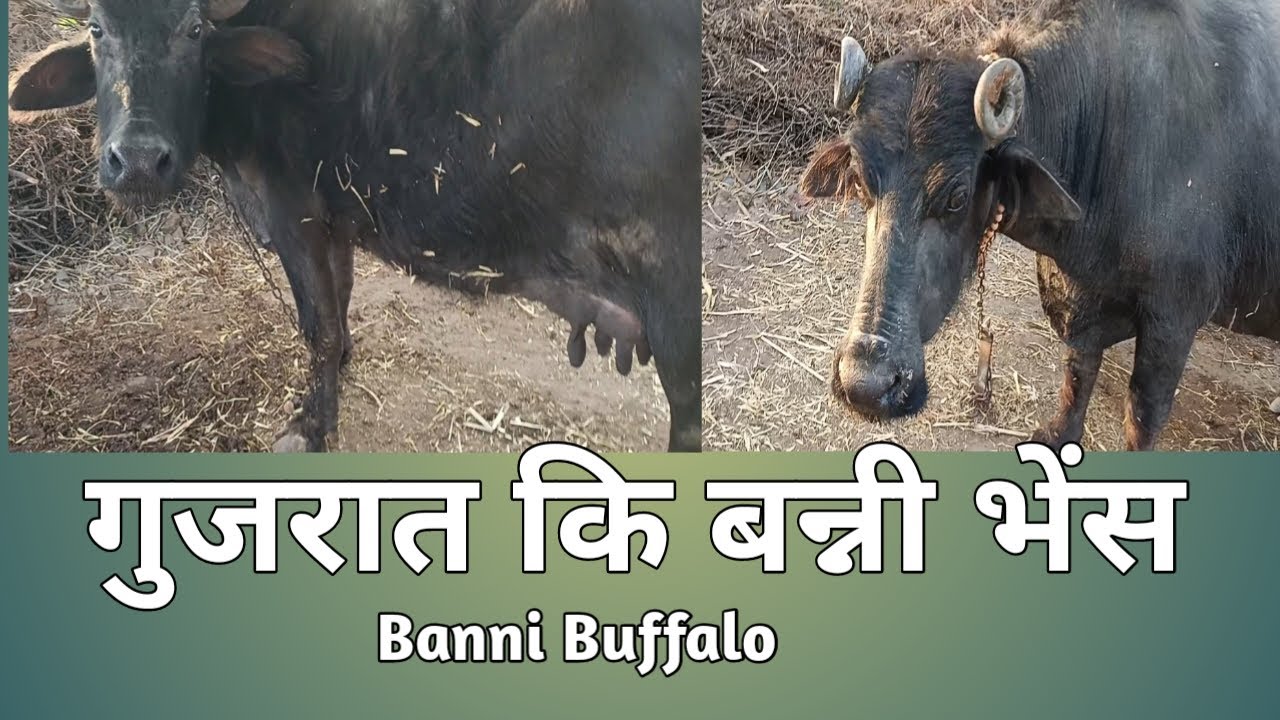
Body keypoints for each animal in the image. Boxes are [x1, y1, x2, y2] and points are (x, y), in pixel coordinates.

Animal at [9, 0, 701, 451]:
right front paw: (340, 365)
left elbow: (316, 321)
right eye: (98, 29)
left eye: (194, 29)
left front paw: (311, 426)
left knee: (688, 411)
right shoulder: (333, 216)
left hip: (672, 293)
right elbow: (337, 302)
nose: (137, 160)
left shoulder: (294, 211)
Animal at [800, 0, 1280, 450]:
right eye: (859, 181)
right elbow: (1078, 369)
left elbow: (1143, 415)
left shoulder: (1173, 320)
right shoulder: (1079, 296)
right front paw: (1060, 432)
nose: (866, 384)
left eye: (957, 196)